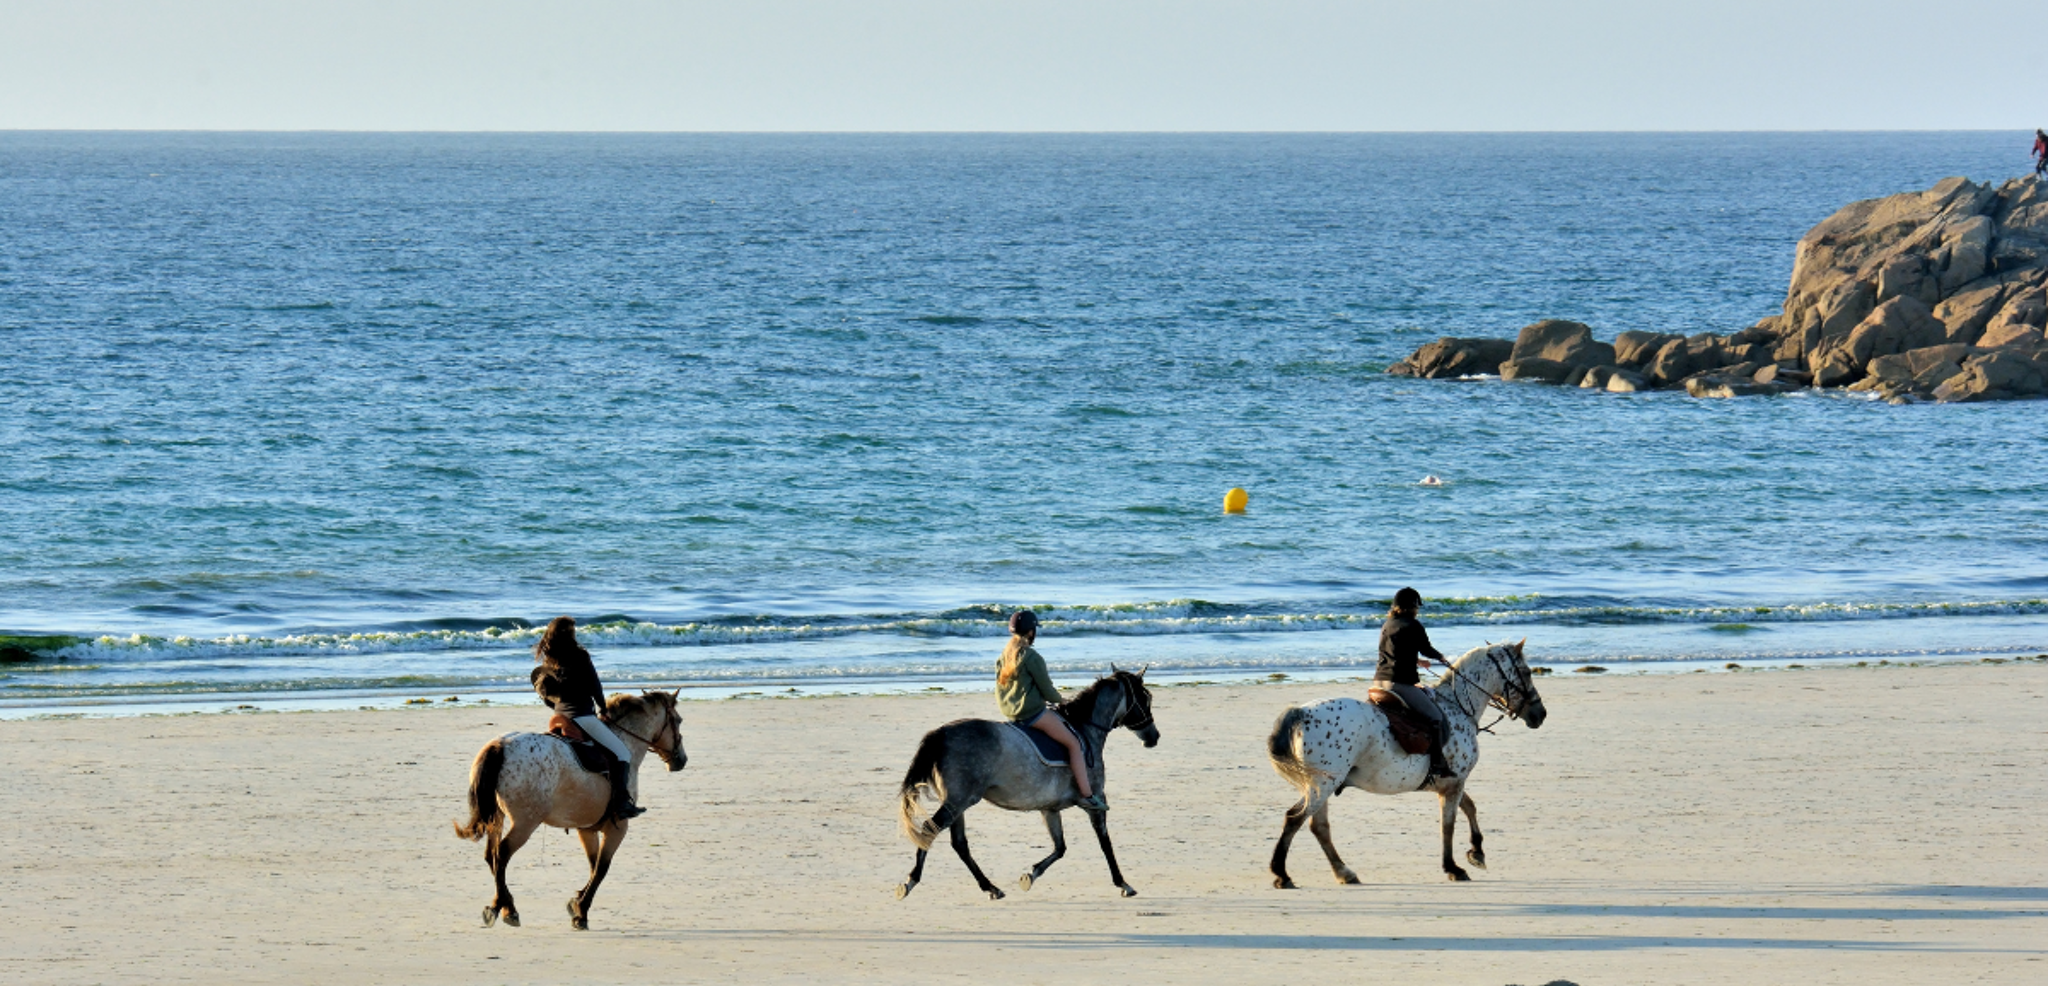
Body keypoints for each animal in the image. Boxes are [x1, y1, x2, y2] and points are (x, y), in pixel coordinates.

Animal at [453, 689, 687, 929]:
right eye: (678, 721)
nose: (681, 760)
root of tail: (500, 745)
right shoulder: (618, 827)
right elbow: (601, 868)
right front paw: (581, 910)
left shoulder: (586, 828)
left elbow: (593, 865)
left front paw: (577, 902)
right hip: (525, 823)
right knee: (501, 855)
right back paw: (505, 909)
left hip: (496, 818)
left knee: (491, 856)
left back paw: (505, 906)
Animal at [895, 668, 1160, 900]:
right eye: (1146, 697)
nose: (1153, 736)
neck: (1084, 730)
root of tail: (941, 733)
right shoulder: (1095, 801)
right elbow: (1105, 842)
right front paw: (1123, 883)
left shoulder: (1049, 809)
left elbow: (1060, 847)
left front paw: (1030, 875)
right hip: (959, 801)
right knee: (929, 830)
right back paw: (910, 882)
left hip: (956, 804)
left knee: (959, 843)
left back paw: (990, 887)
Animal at [1265, 640, 1546, 886]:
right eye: (1526, 672)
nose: (1540, 714)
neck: (1457, 707)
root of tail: (1301, 712)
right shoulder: (1455, 783)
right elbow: (1449, 823)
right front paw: (1453, 867)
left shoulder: (1451, 783)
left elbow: (1469, 808)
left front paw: (1476, 852)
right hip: (1323, 785)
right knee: (1295, 819)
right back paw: (1282, 874)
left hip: (1320, 786)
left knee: (1318, 826)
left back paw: (1344, 872)